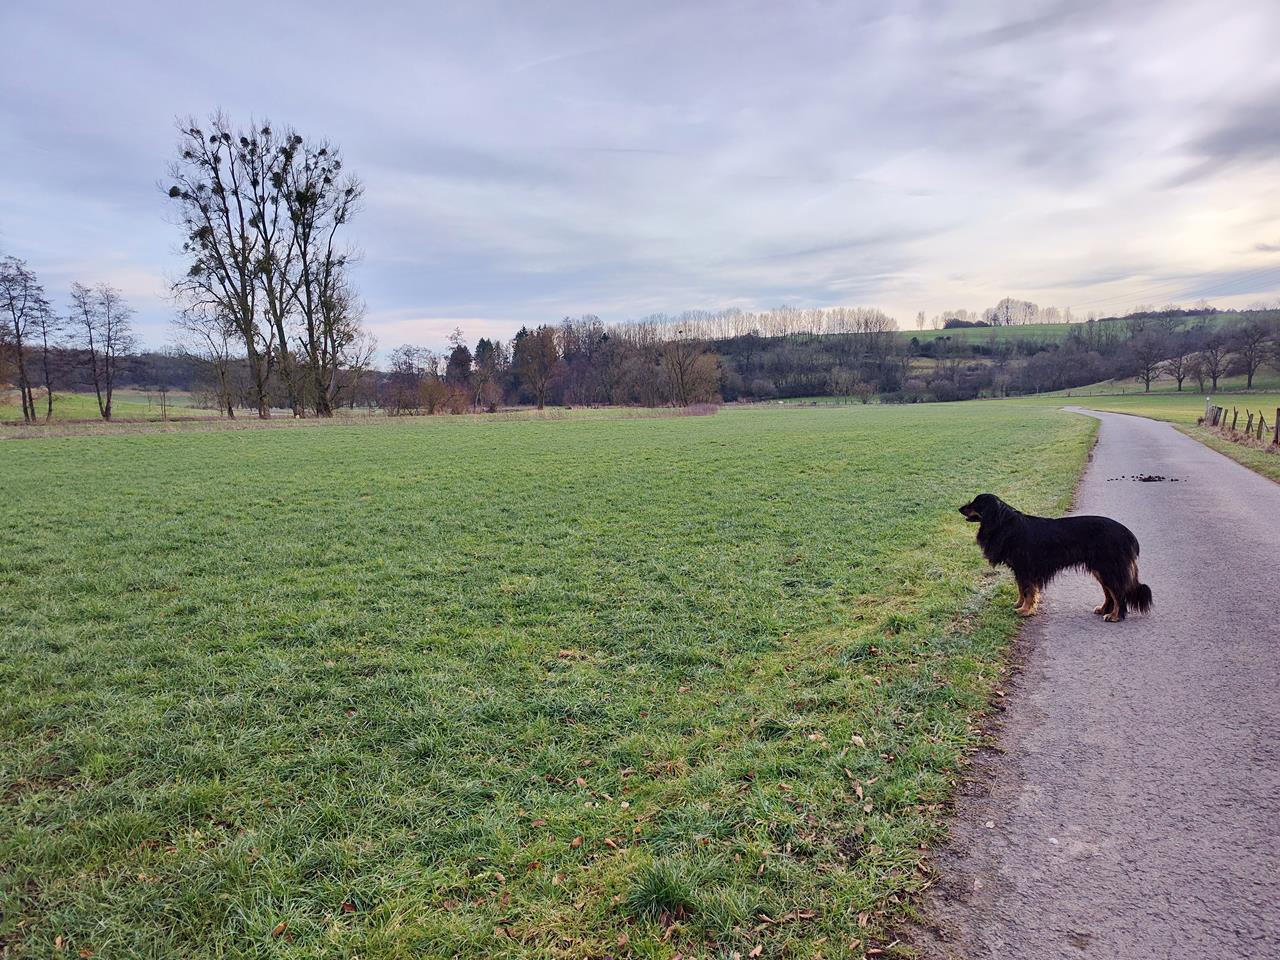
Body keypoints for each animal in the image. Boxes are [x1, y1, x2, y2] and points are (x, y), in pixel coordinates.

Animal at [958, 493, 1152, 622]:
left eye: (975, 503)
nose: (959, 508)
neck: (1003, 523)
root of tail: (1128, 535)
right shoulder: (1020, 570)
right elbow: (1021, 589)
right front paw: (1019, 604)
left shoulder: (1026, 569)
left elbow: (1028, 591)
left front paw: (1025, 610)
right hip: (1101, 569)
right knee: (1109, 593)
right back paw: (1104, 609)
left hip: (1109, 568)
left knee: (1118, 593)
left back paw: (1114, 616)